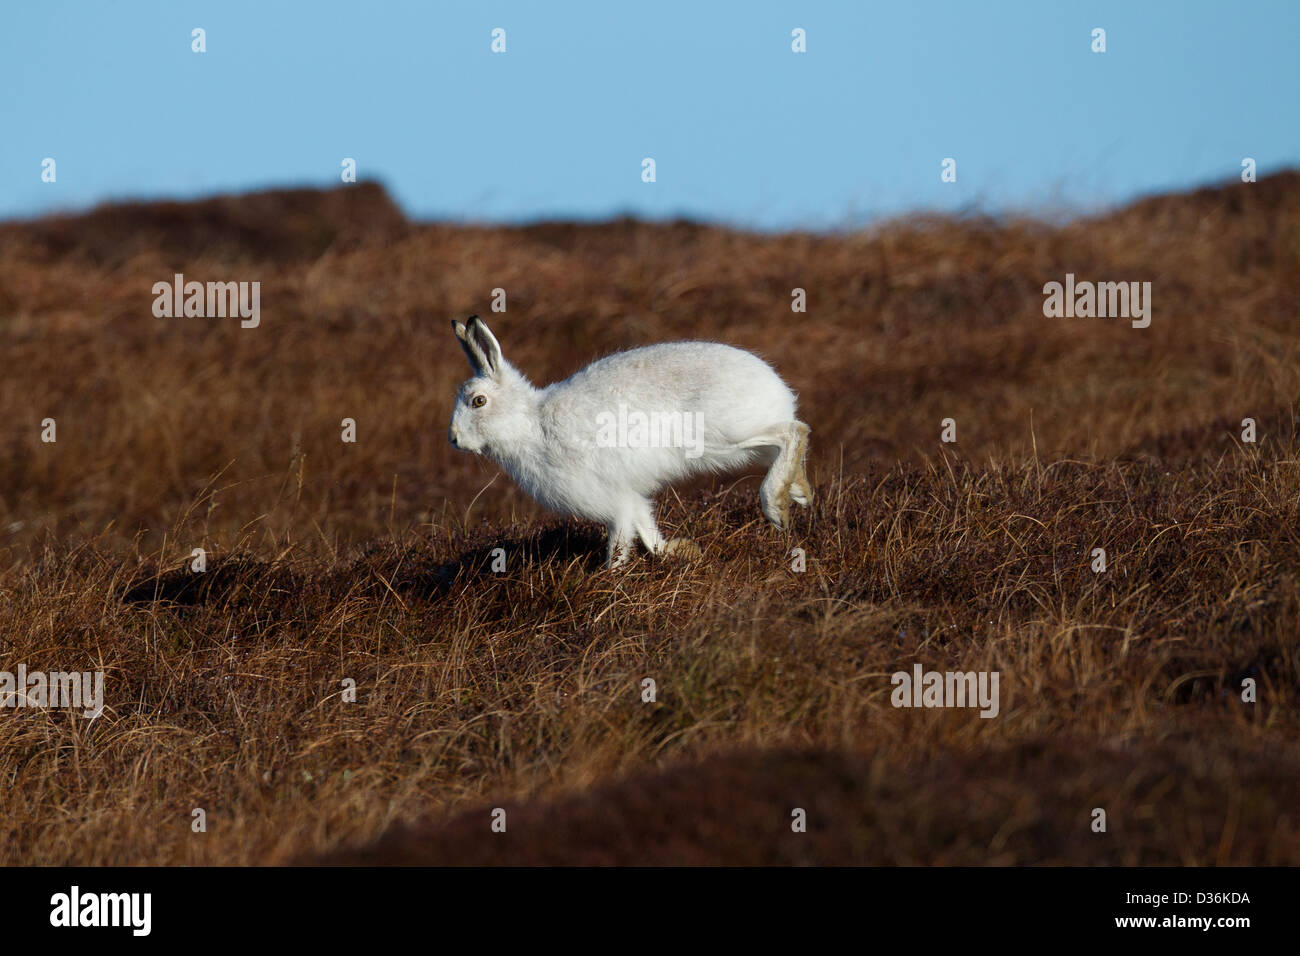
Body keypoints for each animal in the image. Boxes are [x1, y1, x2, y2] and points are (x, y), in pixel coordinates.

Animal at [448, 315, 812, 568]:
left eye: (478, 401)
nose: (453, 439)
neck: (530, 424)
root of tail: (775, 387)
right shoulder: (628, 496)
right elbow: (647, 529)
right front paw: (681, 552)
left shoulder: (611, 502)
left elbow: (621, 542)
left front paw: (611, 581)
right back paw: (799, 491)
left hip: (725, 437)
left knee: (795, 431)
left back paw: (776, 506)